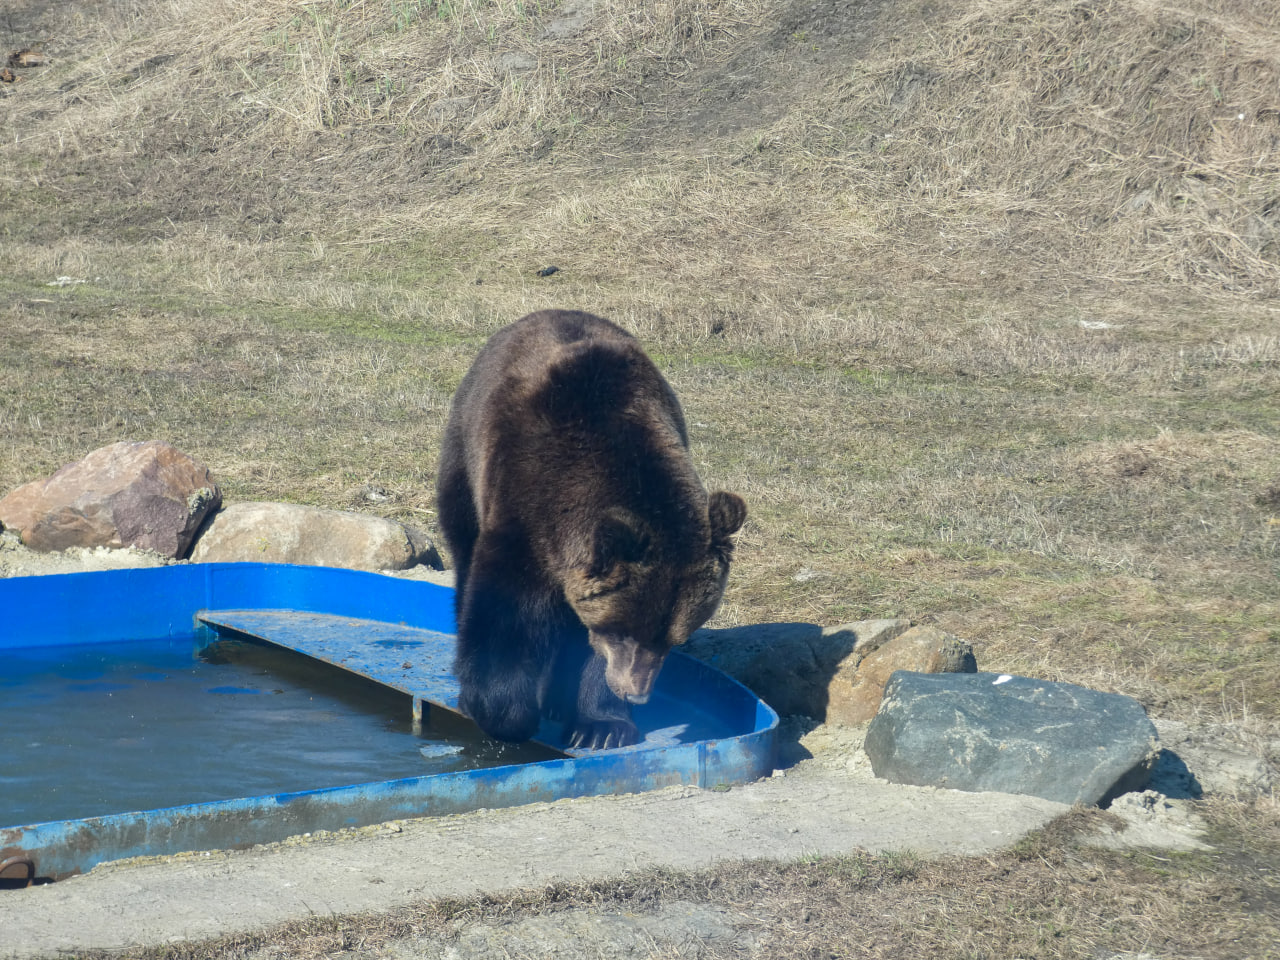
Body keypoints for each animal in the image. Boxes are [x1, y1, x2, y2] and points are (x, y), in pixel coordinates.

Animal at [437, 309, 747, 752]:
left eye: (673, 638)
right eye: (623, 632)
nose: (636, 691)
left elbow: (588, 649)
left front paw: (601, 726)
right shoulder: (523, 514)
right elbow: (505, 618)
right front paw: (507, 714)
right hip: (466, 457)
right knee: (464, 555)